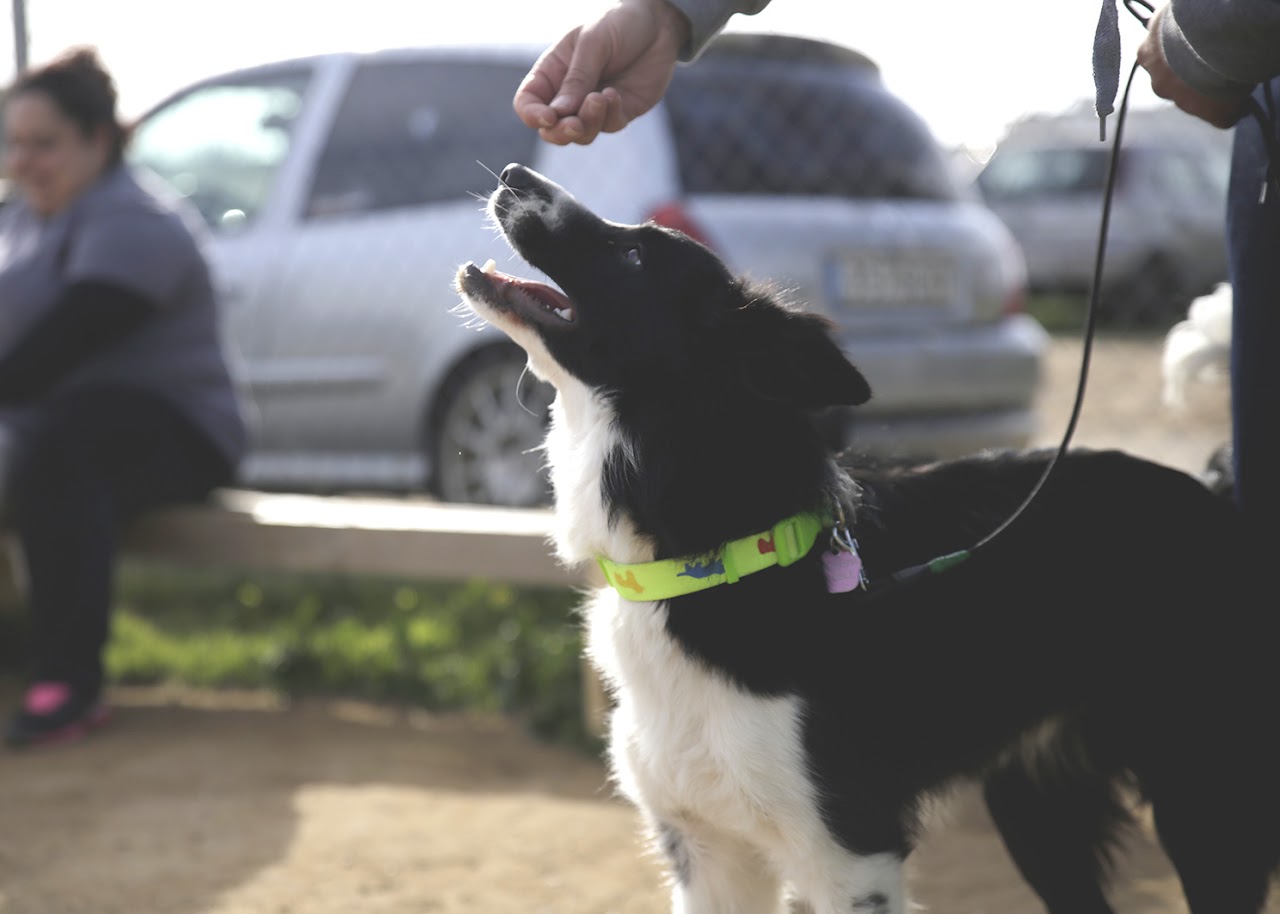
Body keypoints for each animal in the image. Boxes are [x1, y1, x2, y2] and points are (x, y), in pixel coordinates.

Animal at [455, 164, 1279, 914]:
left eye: (632, 254)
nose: (514, 171)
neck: (713, 560)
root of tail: (1214, 497)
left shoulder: (848, 851)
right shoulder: (705, 850)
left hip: (1202, 799)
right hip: (1038, 804)